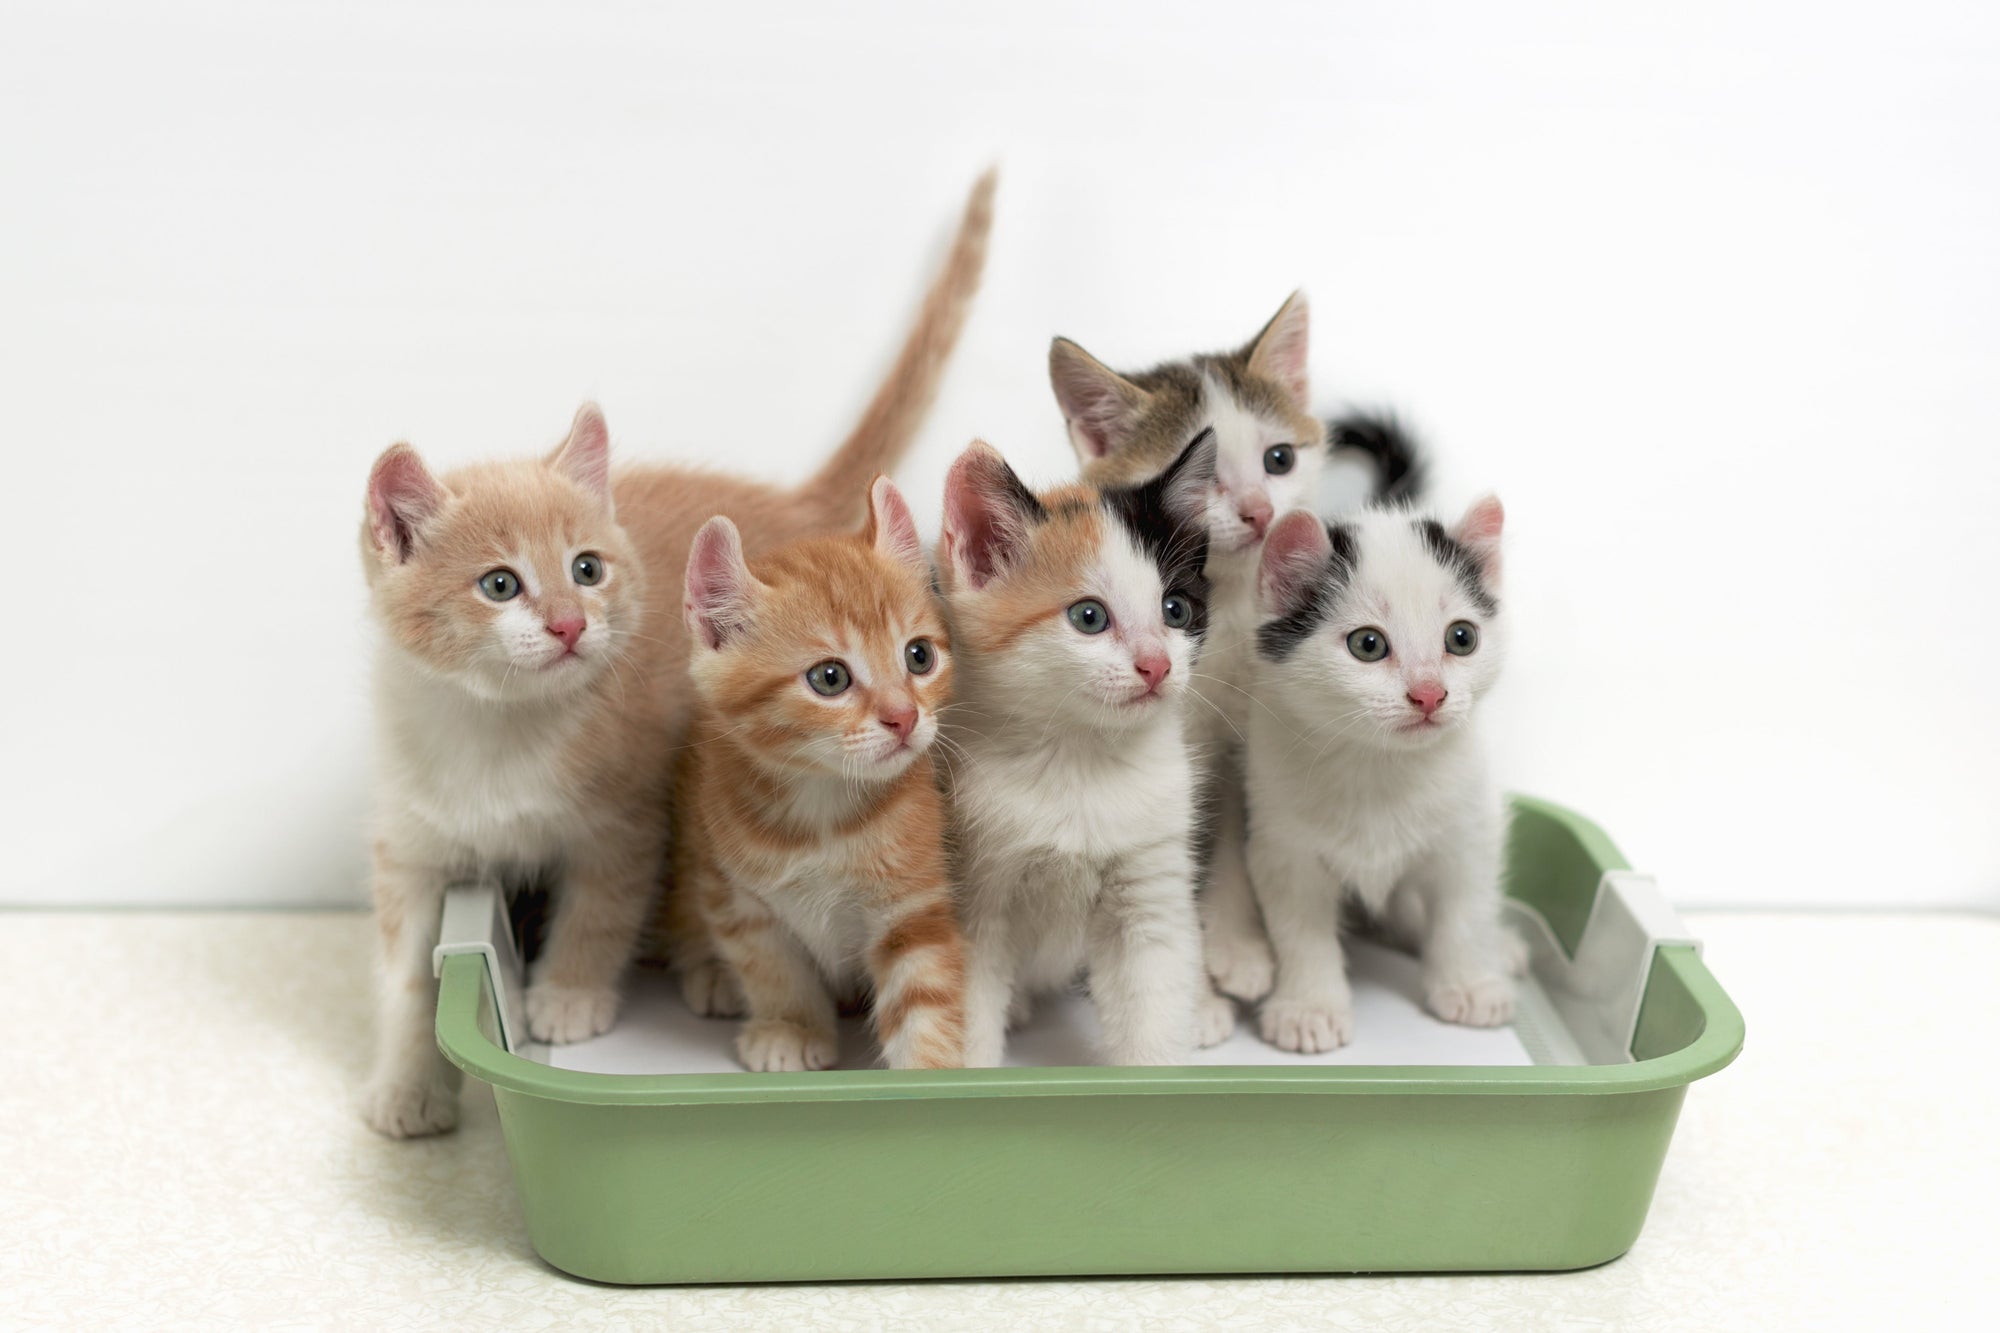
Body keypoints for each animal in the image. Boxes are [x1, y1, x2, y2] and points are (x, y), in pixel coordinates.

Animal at [672, 478, 968, 1072]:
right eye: (829, 678)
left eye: (919, 656)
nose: (905, 717)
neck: (823, 811)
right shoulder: (739, 898)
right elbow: (769, 967)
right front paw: (789, 1026)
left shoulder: (913, 904)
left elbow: (924, 994)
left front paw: (932, 1072)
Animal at [936, 440, 1232, 1064]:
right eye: (1088, 617)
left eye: (1176, 609)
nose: (1157, 665)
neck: (1081, 759)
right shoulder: (972, 896)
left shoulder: (1149, 880)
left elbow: (1154, 996)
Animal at [1040, 290, 1416, 1000]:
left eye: (1279, 459)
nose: (1259, 511)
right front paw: (1202, 998)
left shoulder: (1250, 743)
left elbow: (1237, 837)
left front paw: (1237, 944)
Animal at [1248, 498, 1512, 1048]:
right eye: (1367, 644)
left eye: (1462, 638)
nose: (1430, 694)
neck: (1379, 764)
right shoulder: (1281, 845)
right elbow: (1300, 927)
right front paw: (1309, 1007)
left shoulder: (1472, 826)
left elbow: (1467, 906)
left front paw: (1470, 984)